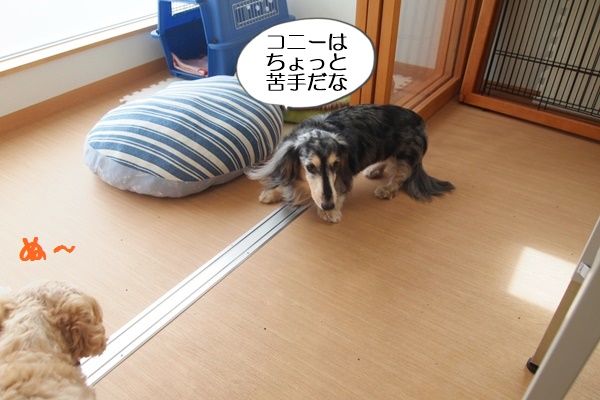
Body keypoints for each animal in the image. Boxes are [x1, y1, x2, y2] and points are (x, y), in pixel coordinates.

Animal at [246, 104, 455, 223]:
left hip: (405, 155)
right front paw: (273, 192)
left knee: (400, 176)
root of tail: (419, 120)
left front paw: (331, 213)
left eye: (336, 165)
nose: (328, 206)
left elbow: (336, 191)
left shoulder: (339, 179)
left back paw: (386, 189)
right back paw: (373, 170)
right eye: (310, 167)